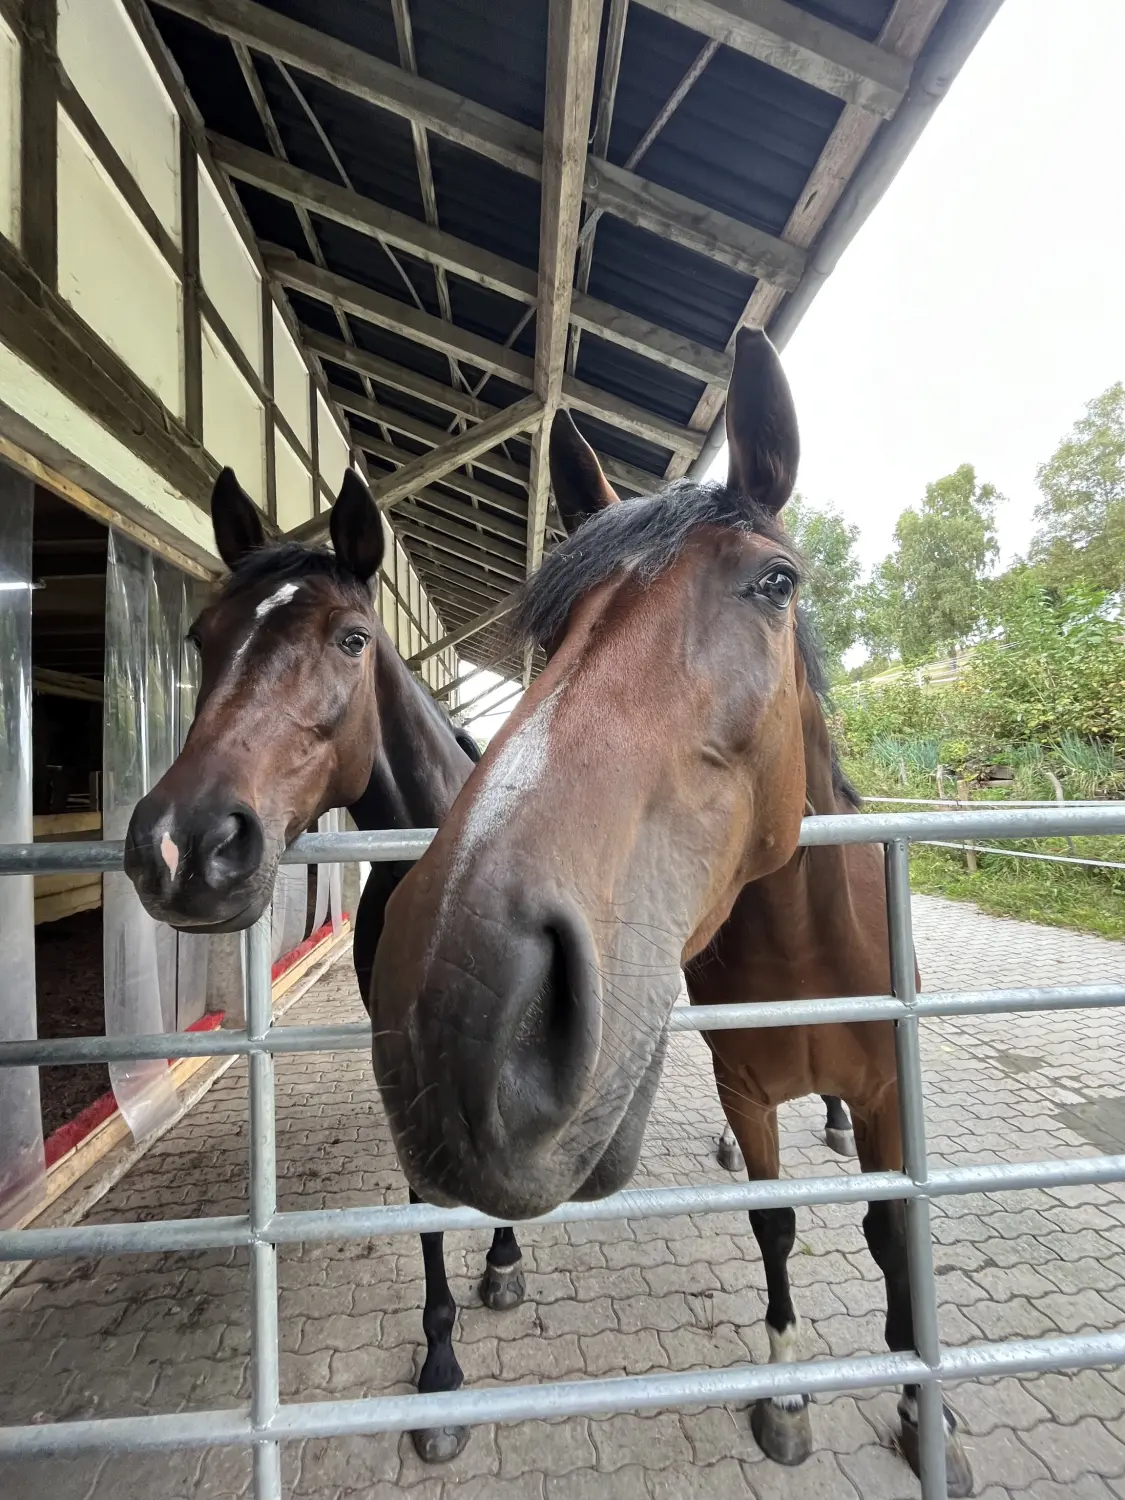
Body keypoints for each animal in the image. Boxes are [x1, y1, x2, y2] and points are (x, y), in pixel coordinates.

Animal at [123, 467, 524, 1463]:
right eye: (201, 637)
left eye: (351, 638)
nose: (183, 845)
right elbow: (422, 1200)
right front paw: (439, 1368)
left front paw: (501, 1261)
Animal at [368, 328, 973, 1496]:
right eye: (553, 628)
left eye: (775, 583)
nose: (450, 1005)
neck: (805, 947)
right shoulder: (745, 1084)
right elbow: (775, 1228)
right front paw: (785, 1395)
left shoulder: (890, 1096)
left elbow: (891, 1233)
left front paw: (927, 1409)